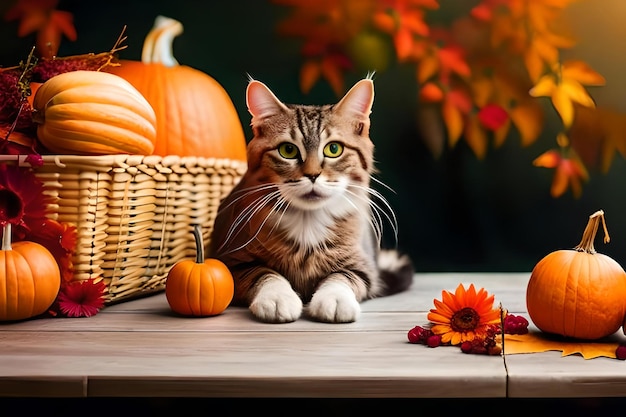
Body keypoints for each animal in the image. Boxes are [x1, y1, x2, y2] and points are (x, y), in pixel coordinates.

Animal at [210, 79, 412, 324]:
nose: (313, 175)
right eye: (288, 150)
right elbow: (265, 274)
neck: (308, 220)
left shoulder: (363, 269)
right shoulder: (233, 263)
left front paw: (335, 300)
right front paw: (277, 298)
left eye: (333, 149)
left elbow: (342, 277)